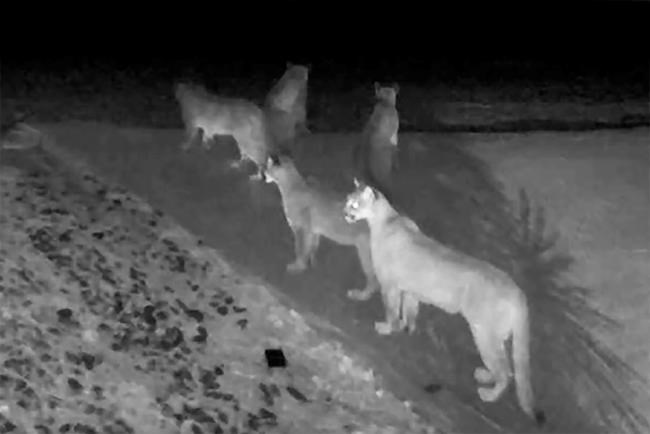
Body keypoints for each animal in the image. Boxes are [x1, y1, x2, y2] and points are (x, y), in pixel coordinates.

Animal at [263, 153, 380, 299]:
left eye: (267, 167)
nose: (263, 173)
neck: (291, 185)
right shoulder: (312, 231)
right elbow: (311, 247)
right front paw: (311, 263)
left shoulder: (301, 229)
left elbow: (300, 248)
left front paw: (297, 266)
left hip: (365, 252)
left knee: (373, 280)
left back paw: (360, 295)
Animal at [342, 179, 546, 426]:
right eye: (347, 200)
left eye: (354, 204)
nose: (344, 213)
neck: (386, 220)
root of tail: (518, 292)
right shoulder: (410, 290)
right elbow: (409, 311)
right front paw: (406, 328)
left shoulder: (390, 285)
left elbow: (391, 309)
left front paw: (386, 328)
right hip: (494, 335)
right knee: (505, 367)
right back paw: (485, 375)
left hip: (484, 332)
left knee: (505, 370)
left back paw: (488, 394)